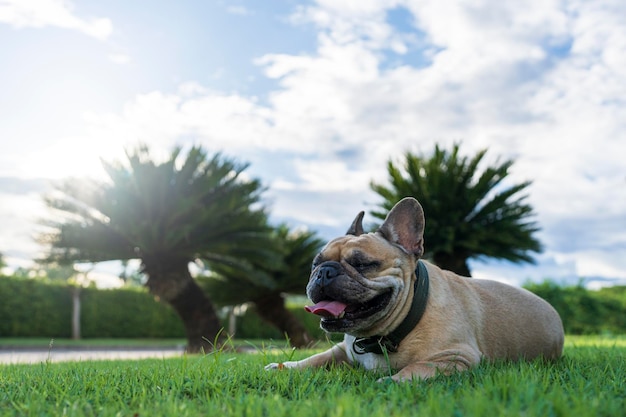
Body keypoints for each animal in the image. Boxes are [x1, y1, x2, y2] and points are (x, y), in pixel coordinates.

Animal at [266, 196, 564, 380]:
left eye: (362, 264)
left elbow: (417, 368)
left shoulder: (455, 357)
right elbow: (316, 358)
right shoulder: (343, 350)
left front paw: (390, 382)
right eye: (315, 263)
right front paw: (285, 366)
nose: (324, 272)